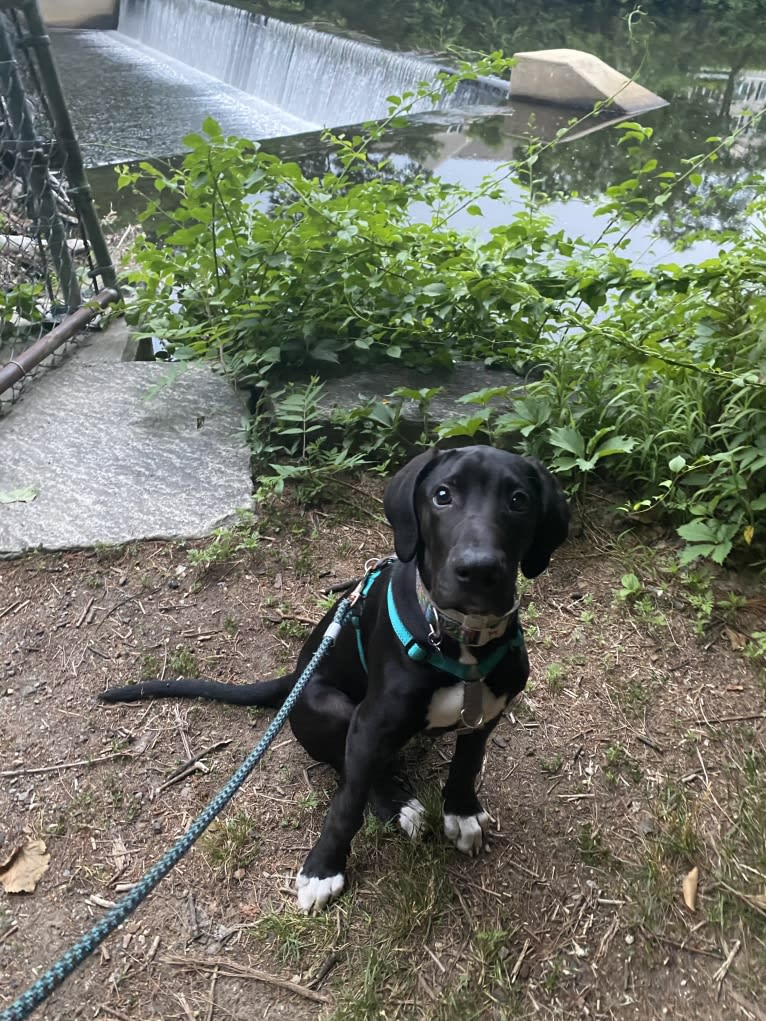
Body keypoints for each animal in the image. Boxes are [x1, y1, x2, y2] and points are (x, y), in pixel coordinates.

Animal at [100, 445, 571, 910]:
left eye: (518, 501)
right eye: (442, 495)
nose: (479, 569)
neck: (457, 637)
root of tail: (294, 676)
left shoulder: (486, 715)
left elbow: (467, 765)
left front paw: (462, 812)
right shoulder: (370, 723)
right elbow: (347, 803)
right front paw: (324, 869)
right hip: (329, 706)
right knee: (349, 769)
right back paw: (399, 805)